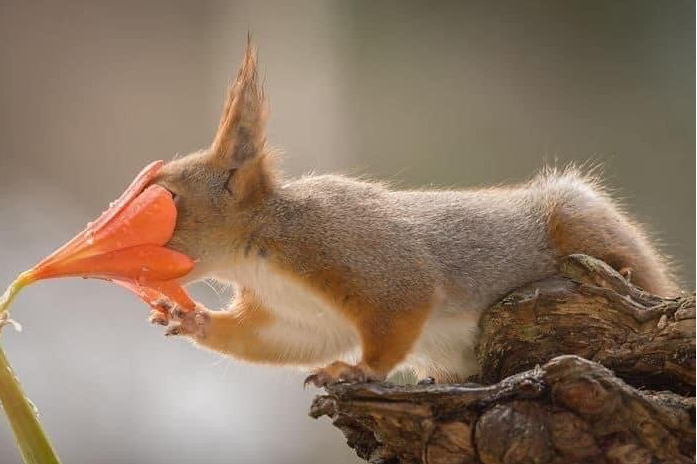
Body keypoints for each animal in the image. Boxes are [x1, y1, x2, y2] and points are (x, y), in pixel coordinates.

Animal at [147, 41, 676, 386]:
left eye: (168, 198)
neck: (256, 249)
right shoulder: (295, 316)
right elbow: (274, 341)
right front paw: (191, 319)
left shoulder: (352, 249)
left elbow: (402, 308)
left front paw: (358, 369)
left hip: (577, 222)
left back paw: (631, 275)